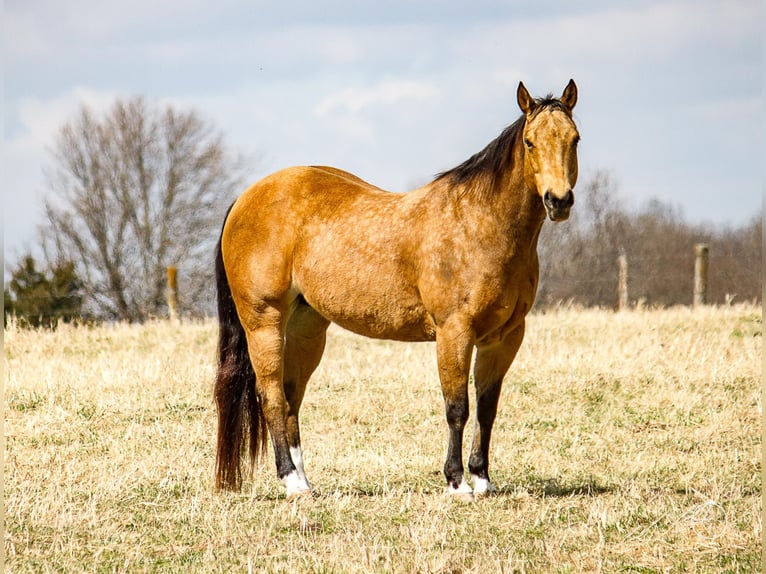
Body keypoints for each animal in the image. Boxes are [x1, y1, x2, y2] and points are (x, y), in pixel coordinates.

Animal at [213, 79, 580, 502]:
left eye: (575, 139)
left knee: (291, 397)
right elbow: (457, 407)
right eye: (530, 142)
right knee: (271, 395)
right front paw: (457, 483)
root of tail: (245, 198)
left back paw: (304, 481)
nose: (558, 201)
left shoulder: (504, 337)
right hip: (263, 321)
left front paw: (482, 479)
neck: (479, 224)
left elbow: (487, 408)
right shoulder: (454, 333)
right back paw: (290, 481)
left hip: (307, 327)